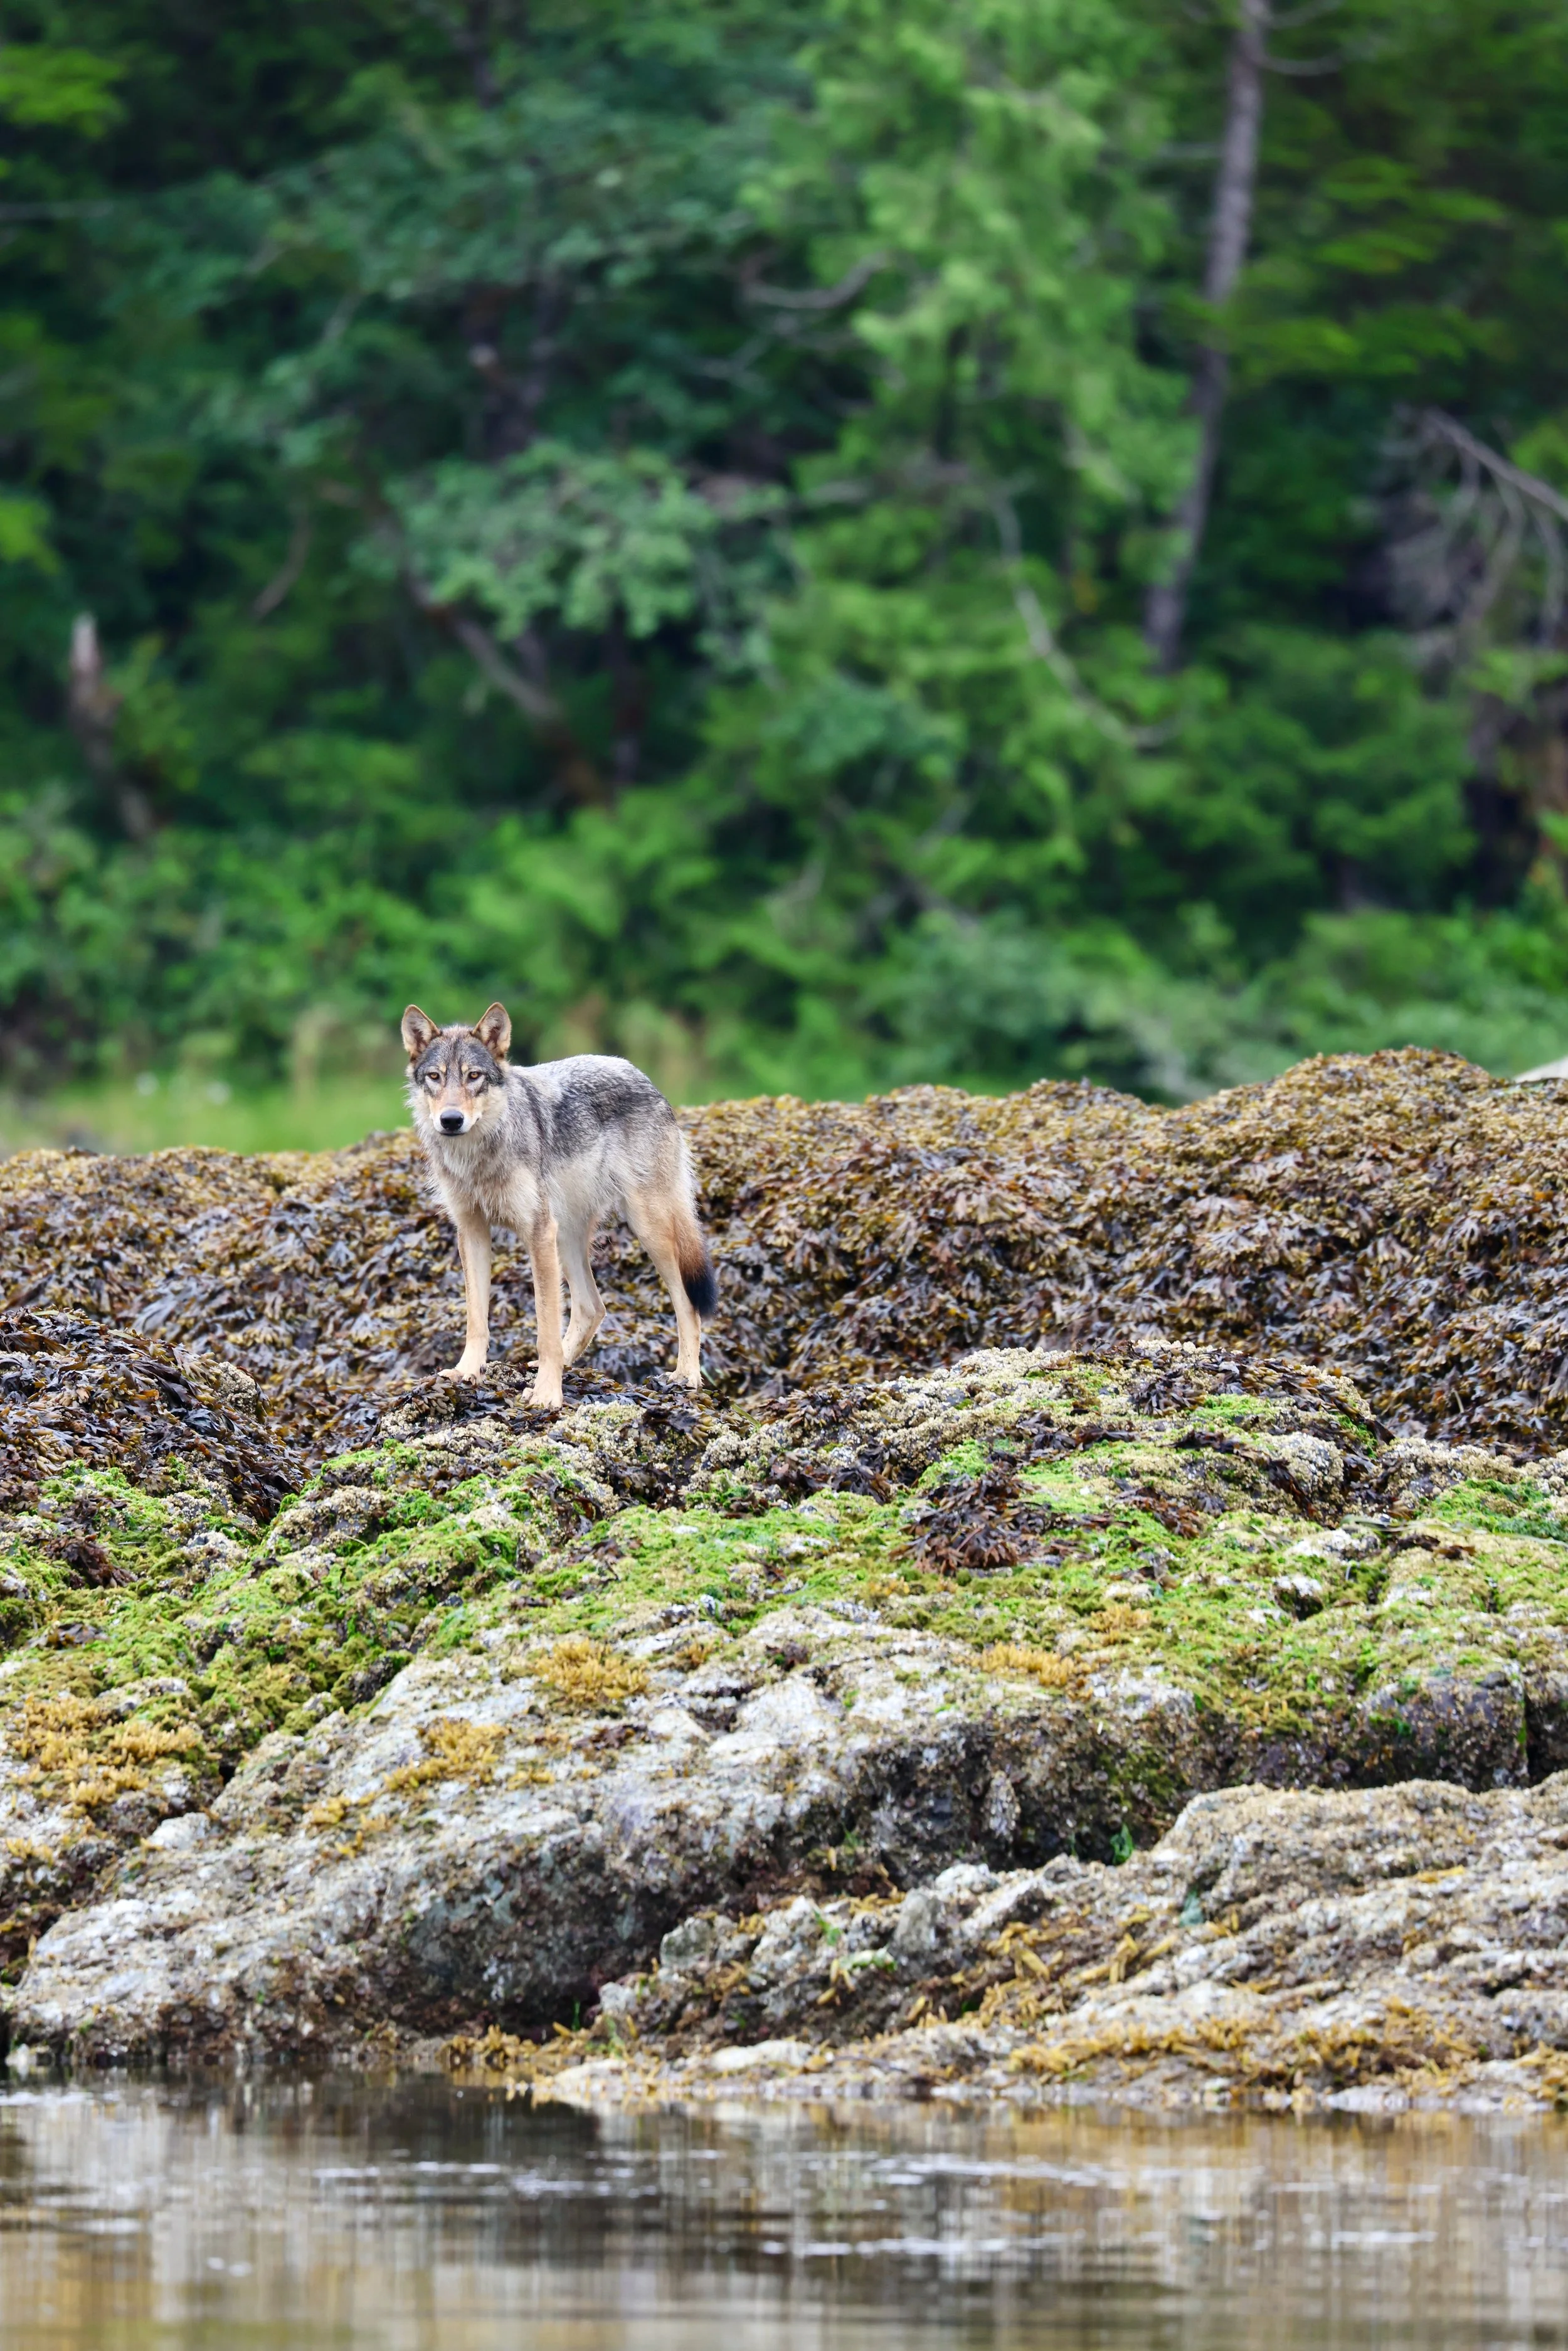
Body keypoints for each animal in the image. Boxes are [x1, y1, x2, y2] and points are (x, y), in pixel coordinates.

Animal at [401, 1002, 717, 1409]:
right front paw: (467, 1371)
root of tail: (642, 1075)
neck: (478, 1159)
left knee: (686, 1304)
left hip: (647, 1230)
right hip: (567, 1236)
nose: (451, 1120)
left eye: (474, 1076)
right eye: (435, 1077)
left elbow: (546, 1327)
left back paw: (687, 1377)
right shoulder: (472, 1231)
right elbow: (477, 1320)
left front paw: (548, 1395)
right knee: (592, 1307)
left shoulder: (537, 1233)